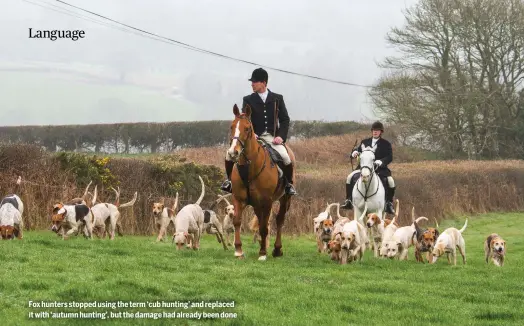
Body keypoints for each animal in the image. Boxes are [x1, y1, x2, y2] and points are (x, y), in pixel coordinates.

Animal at [227, 103, 296, 262]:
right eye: (232, 126)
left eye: (247, 128)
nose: (233, 152)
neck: (249, 168)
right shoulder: (238, 199)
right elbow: (237, 221)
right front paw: (238, 250)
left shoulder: (267, 201)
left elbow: (264, 227)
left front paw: (263, 253)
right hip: (257, 205)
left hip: (284, 199)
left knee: (279, 220)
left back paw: (277, 249)